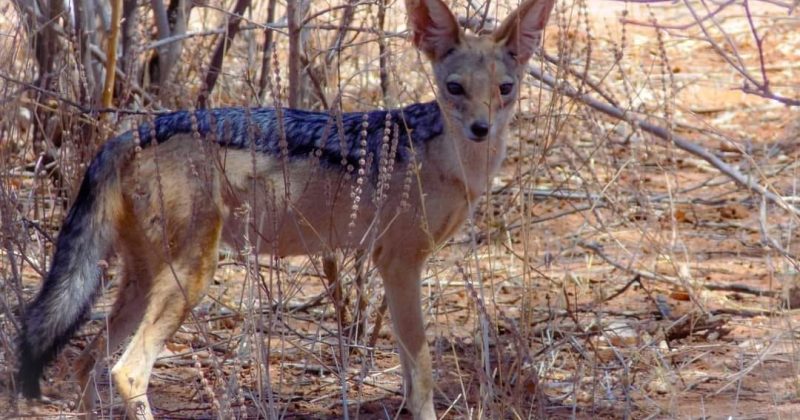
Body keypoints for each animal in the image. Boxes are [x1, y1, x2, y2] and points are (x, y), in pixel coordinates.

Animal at [16, 0, 555, 418]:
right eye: (455, 88)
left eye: (505, 89)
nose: (482, 129)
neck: (444, 157)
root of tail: (134, 131)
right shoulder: (399, 264)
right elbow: (420, 377)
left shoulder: (392, 269)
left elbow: (408, 374)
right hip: (189, 278)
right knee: (127, 372)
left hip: (142, 281)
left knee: (86, 362)